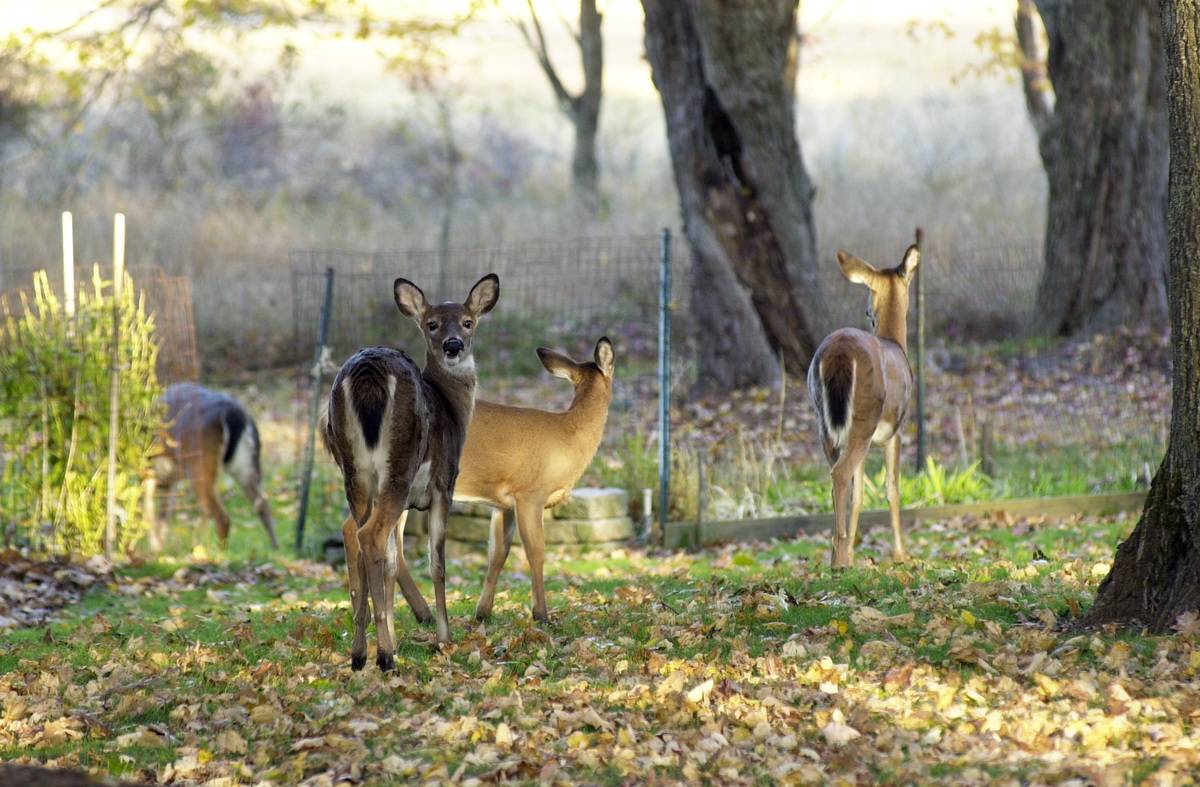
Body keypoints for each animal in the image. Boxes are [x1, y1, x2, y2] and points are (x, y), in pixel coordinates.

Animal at [152, 383, 277, 550]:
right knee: (262, 503)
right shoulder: (167, 478)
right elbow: (162, 515)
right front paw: (158, 547)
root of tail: (233, 415)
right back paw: (275, 548)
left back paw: (214, 551)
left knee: (221, 516)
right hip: (246, 465)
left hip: (199, 465)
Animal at [322, 273, 499, 670]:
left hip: (356, 472)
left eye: (468, 321)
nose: (453, 345)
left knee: (355, 533)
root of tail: (367, 375)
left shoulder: (407, 503)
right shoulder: (443, 484)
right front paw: (444, 639)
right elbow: (437, 562)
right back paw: (386, 657)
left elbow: (391, 563)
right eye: (432, 324)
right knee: (369, 535)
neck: (452, 409)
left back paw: (361, 652)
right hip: (399, 465)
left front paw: (393, 635)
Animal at [452, 337, 615, 624]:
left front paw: (482, 613)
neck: (569, 436)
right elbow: (536, 552)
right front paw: (541, 614)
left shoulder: (503, 503)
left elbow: (497, 553)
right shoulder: (530, 493)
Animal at [807, 243, 919, 569]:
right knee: (841, 473)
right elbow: (892, 488)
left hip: (825, 424)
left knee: (837, 477)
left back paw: (838, 555)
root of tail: (839, 352)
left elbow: (859, 495)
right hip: (865, 417)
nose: (868, 313)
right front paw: (901, 555)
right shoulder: (896, 430)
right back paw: (840, 561)